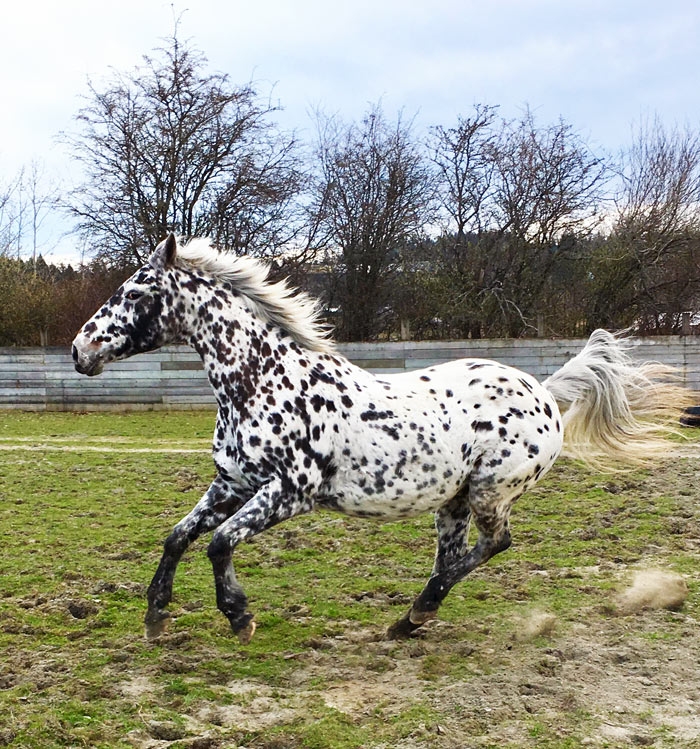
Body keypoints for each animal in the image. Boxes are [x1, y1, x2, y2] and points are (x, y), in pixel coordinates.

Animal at [72, 234, 690, 644]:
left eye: (134, 293)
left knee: (492, 546)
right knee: (458, 553)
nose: (81, 350)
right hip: (453, 500)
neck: (262, 379)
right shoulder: (233, 482)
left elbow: (219, 543)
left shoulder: (289, 492)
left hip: (490, 492)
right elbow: (178, 537)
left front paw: (239, 617)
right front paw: (156, 617)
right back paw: (409, 619)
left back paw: (418, 612)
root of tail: (542, 389)